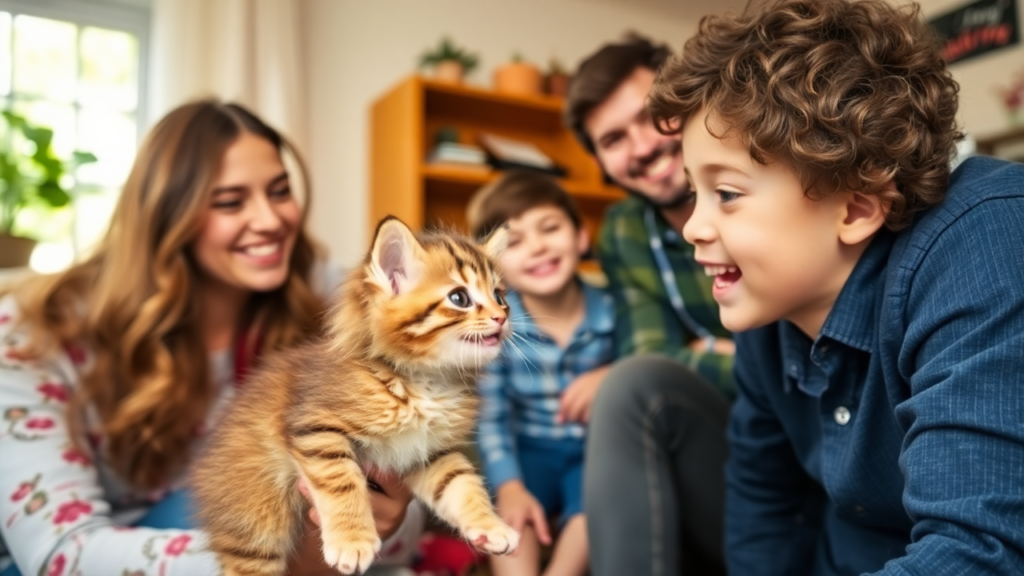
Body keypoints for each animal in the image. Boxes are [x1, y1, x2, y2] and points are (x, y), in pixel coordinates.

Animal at [193, 216, 520, 573]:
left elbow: (462, 484)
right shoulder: (316, 428)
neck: (424, 381)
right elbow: (342, 481)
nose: (502, 317)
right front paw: (352, 541)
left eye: (499, 296)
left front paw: (491, 526)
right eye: (459, 298)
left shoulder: (428, 452)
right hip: (256, 522)